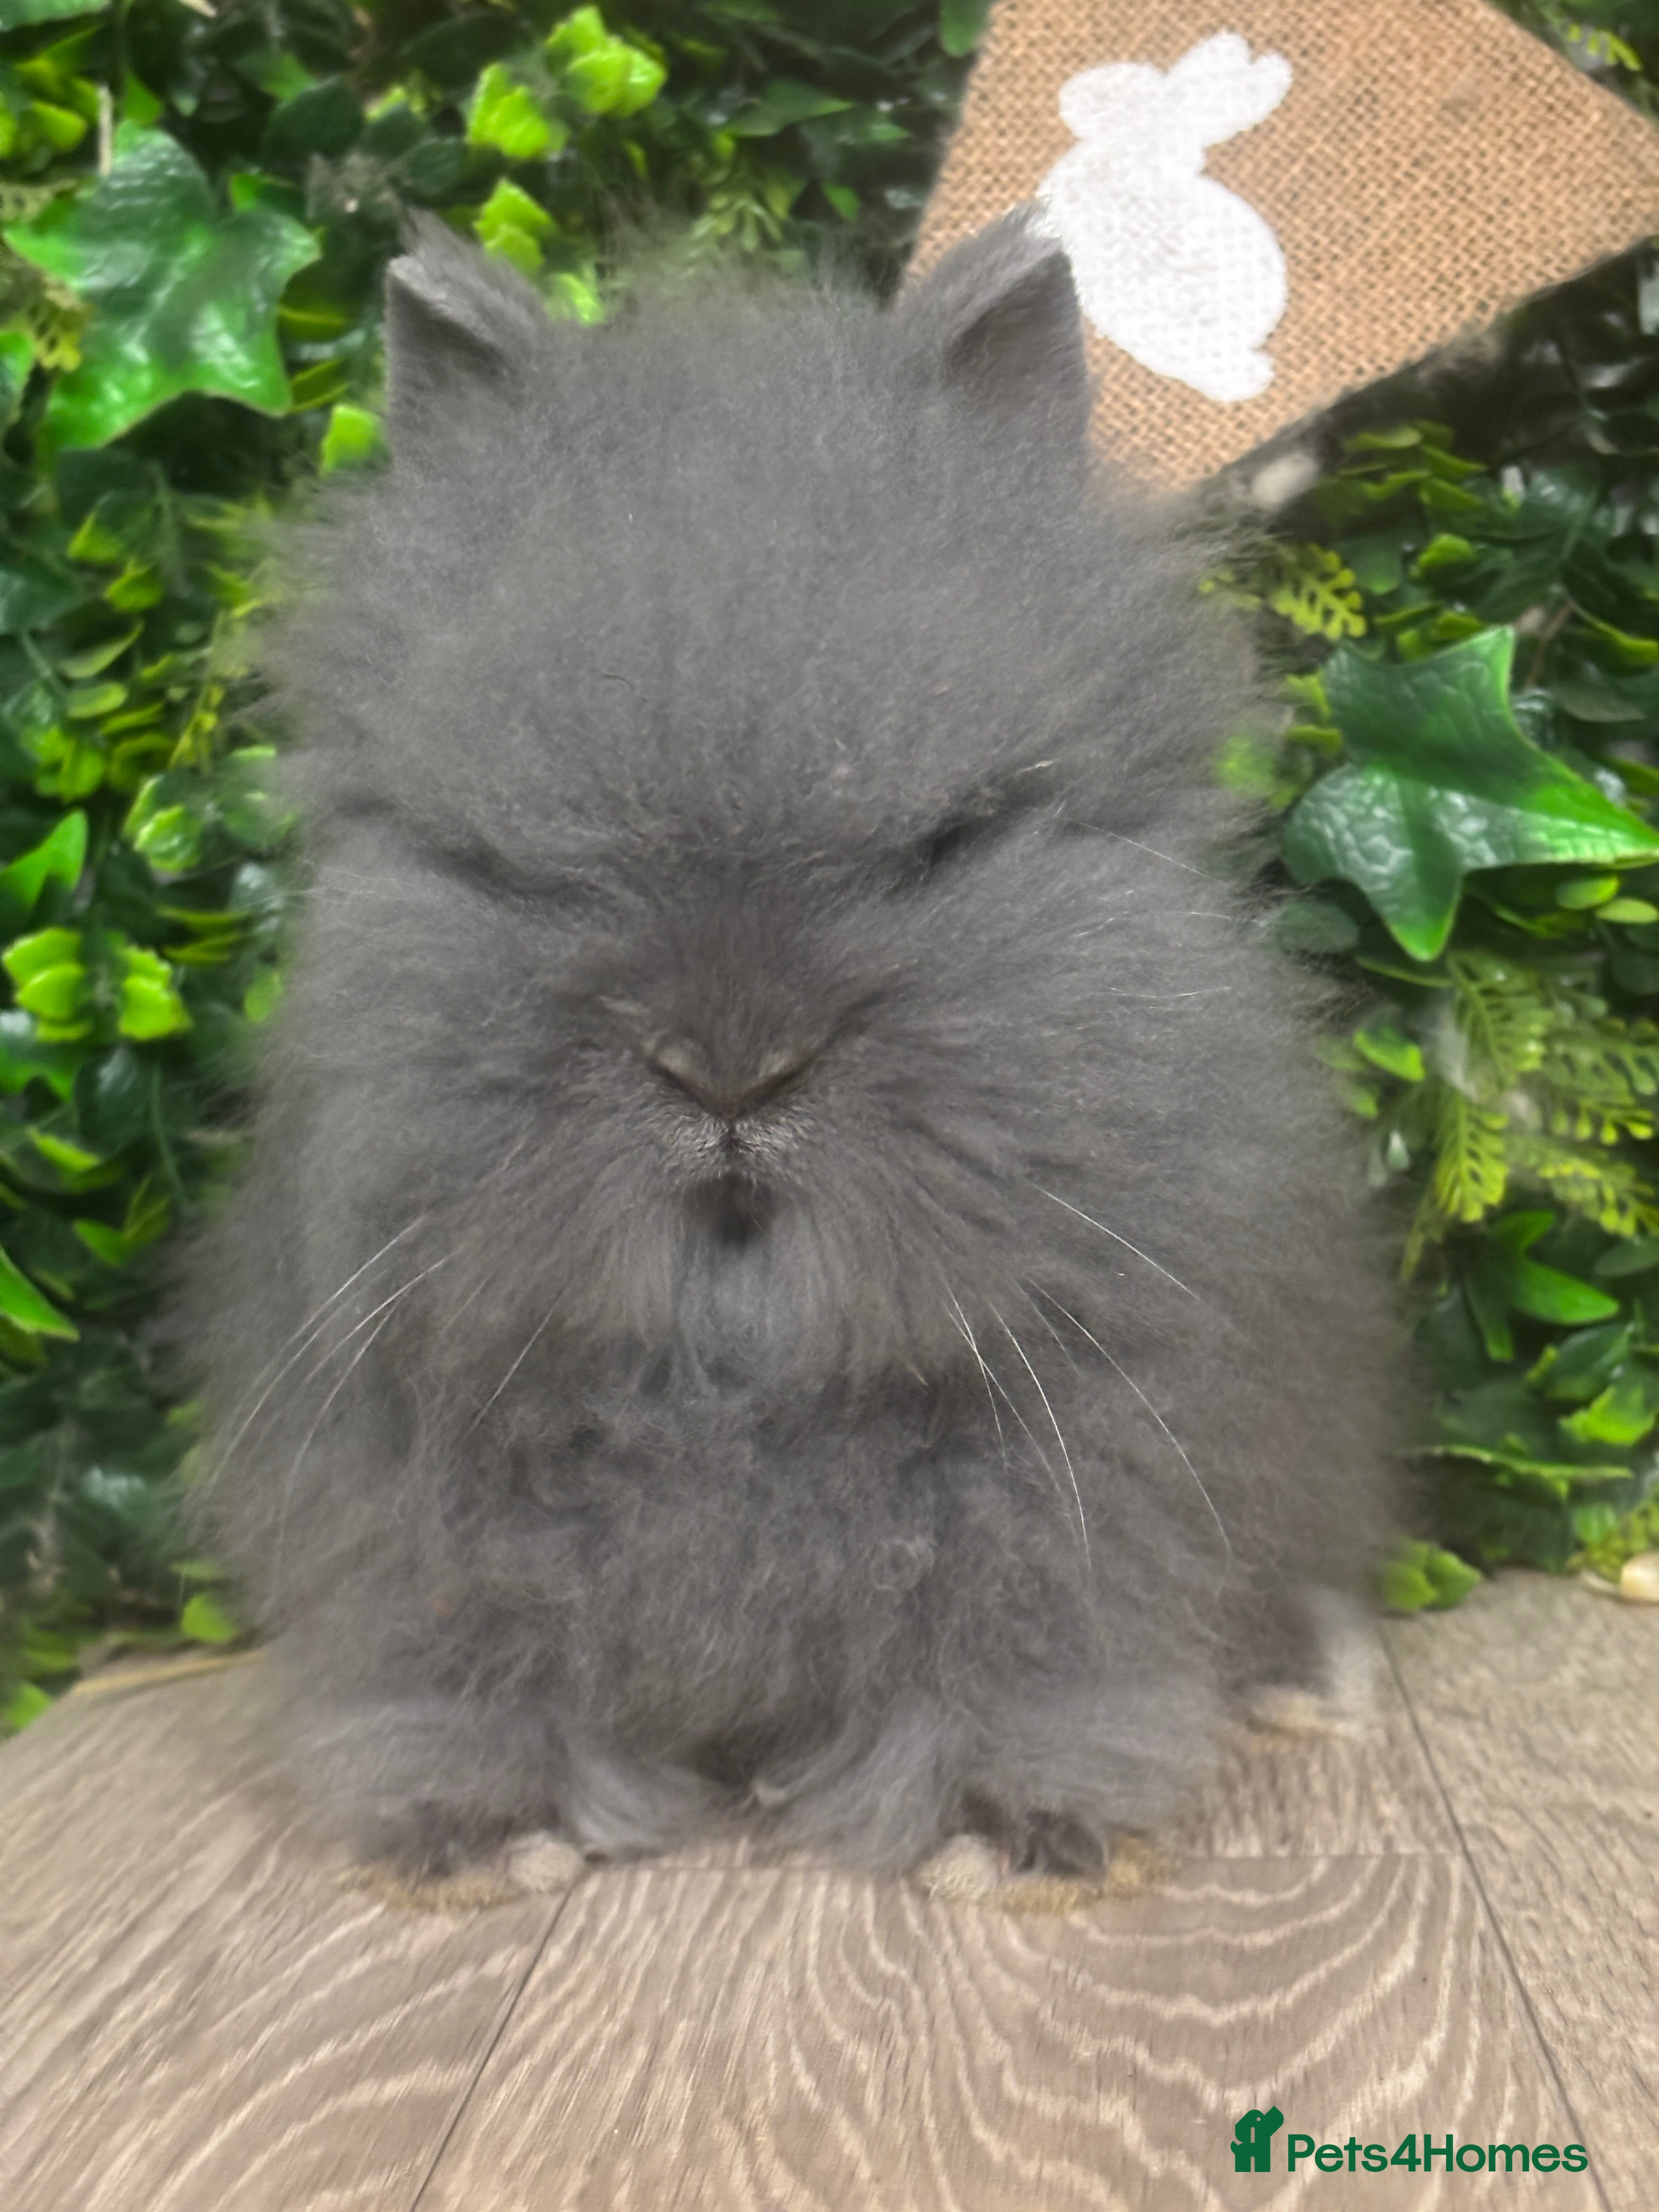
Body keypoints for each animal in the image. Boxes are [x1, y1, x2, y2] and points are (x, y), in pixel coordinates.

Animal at [185, 208, 1399, 1911]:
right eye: (506, 863)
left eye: (949, 842)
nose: (730, 1069)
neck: (735, 1381)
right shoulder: (413, 1499)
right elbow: (473, 1660)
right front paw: (493, 1839)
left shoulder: (1089, 1470)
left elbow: (1028, 1641)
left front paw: (999, 1835)